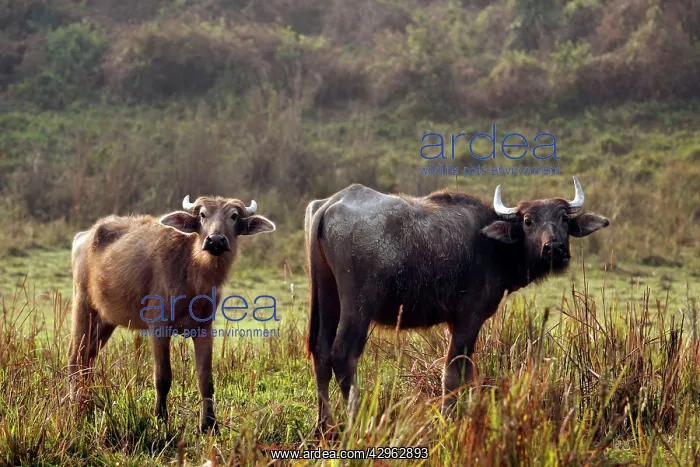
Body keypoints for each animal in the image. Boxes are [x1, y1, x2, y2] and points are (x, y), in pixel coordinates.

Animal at [68, 196, 275, 433]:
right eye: (202, 215)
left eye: (233, 216)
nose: (215, 240)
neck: (192, 275)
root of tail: (84, 236)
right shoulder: (159, 326)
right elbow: (163, 377)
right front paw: (161, 419)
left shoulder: (204, 329)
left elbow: (206, 379)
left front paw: (209, 424)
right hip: (83, 305)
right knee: (75, 357)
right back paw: (76, 407)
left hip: (105, 319)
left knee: (88, 358)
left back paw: (87, 405)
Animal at [304, 177, 609, 432]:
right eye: (528, 221)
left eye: (563, 219)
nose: (554, 248)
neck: (493, 246)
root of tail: (333, 202)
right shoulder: (468, 318)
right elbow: (453, 372)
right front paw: (448, 419)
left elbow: (467, 372)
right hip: (358, 306)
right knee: (342, 354)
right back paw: (357, 421)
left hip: (327, 297)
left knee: (320, 353)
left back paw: (324, 425)